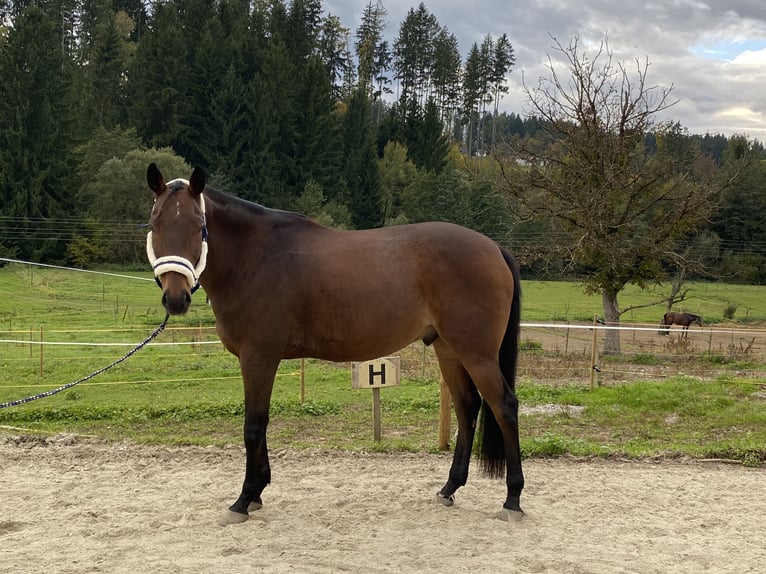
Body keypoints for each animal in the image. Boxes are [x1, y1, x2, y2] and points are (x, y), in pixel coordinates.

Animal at [145, 163, 524, 524]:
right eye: (154, 224)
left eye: (198, 226)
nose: (175, 298)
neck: (256, 258)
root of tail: (494, 248)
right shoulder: (257, 360)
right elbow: (260, 424)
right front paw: (257, 493)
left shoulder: (258, 358)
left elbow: (253, 425)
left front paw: (244, 498)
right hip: (449, 349)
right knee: (467, 407)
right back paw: (449, 488)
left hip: (477, 354)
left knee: (504, 407)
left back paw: (513, 499)